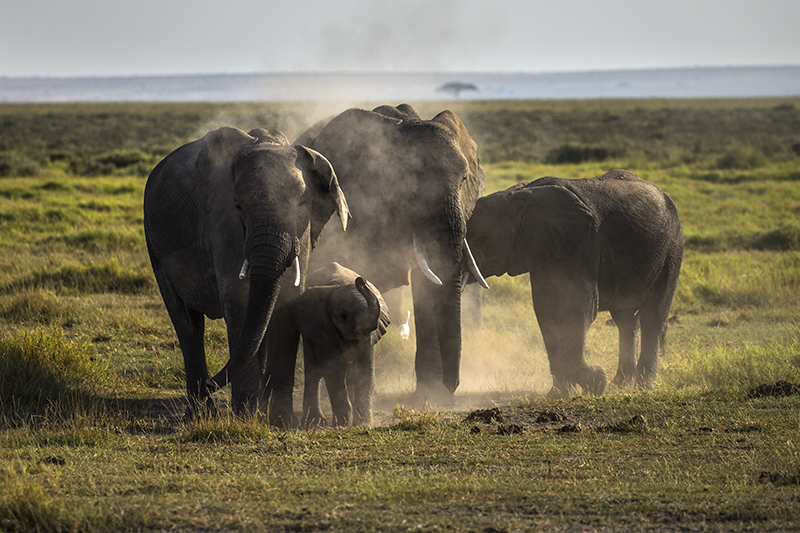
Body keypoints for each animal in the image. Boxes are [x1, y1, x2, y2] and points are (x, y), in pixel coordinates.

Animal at [144, 125, 350, 416]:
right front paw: (245, 416)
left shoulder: (304, 228)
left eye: (302, 202)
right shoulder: (222, 220)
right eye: (238, 206)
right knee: (186, 323)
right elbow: (240, 298)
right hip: (154, 242)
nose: (212, 383)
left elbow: (287, 300)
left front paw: (278, 417)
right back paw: (203, 412)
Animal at [274, 260, 390, 426]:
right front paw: (343, 425)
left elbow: (364, 370)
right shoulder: (323, 328)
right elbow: (334, 370)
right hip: (309, 333)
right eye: (343, 316)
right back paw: (314, 423)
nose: (361, 280)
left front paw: (362, 425)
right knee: (313, 369)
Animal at [466, 168, 684, 396]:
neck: (520, 194)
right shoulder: (545, 247)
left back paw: (644, 387)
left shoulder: (584, 244)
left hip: (672, 250)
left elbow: (579, 309)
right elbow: (546, 311)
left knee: (654, 315)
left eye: (484, 238)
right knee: (625, 319)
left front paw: (596, 383)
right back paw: (620, 384)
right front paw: (561, 394)